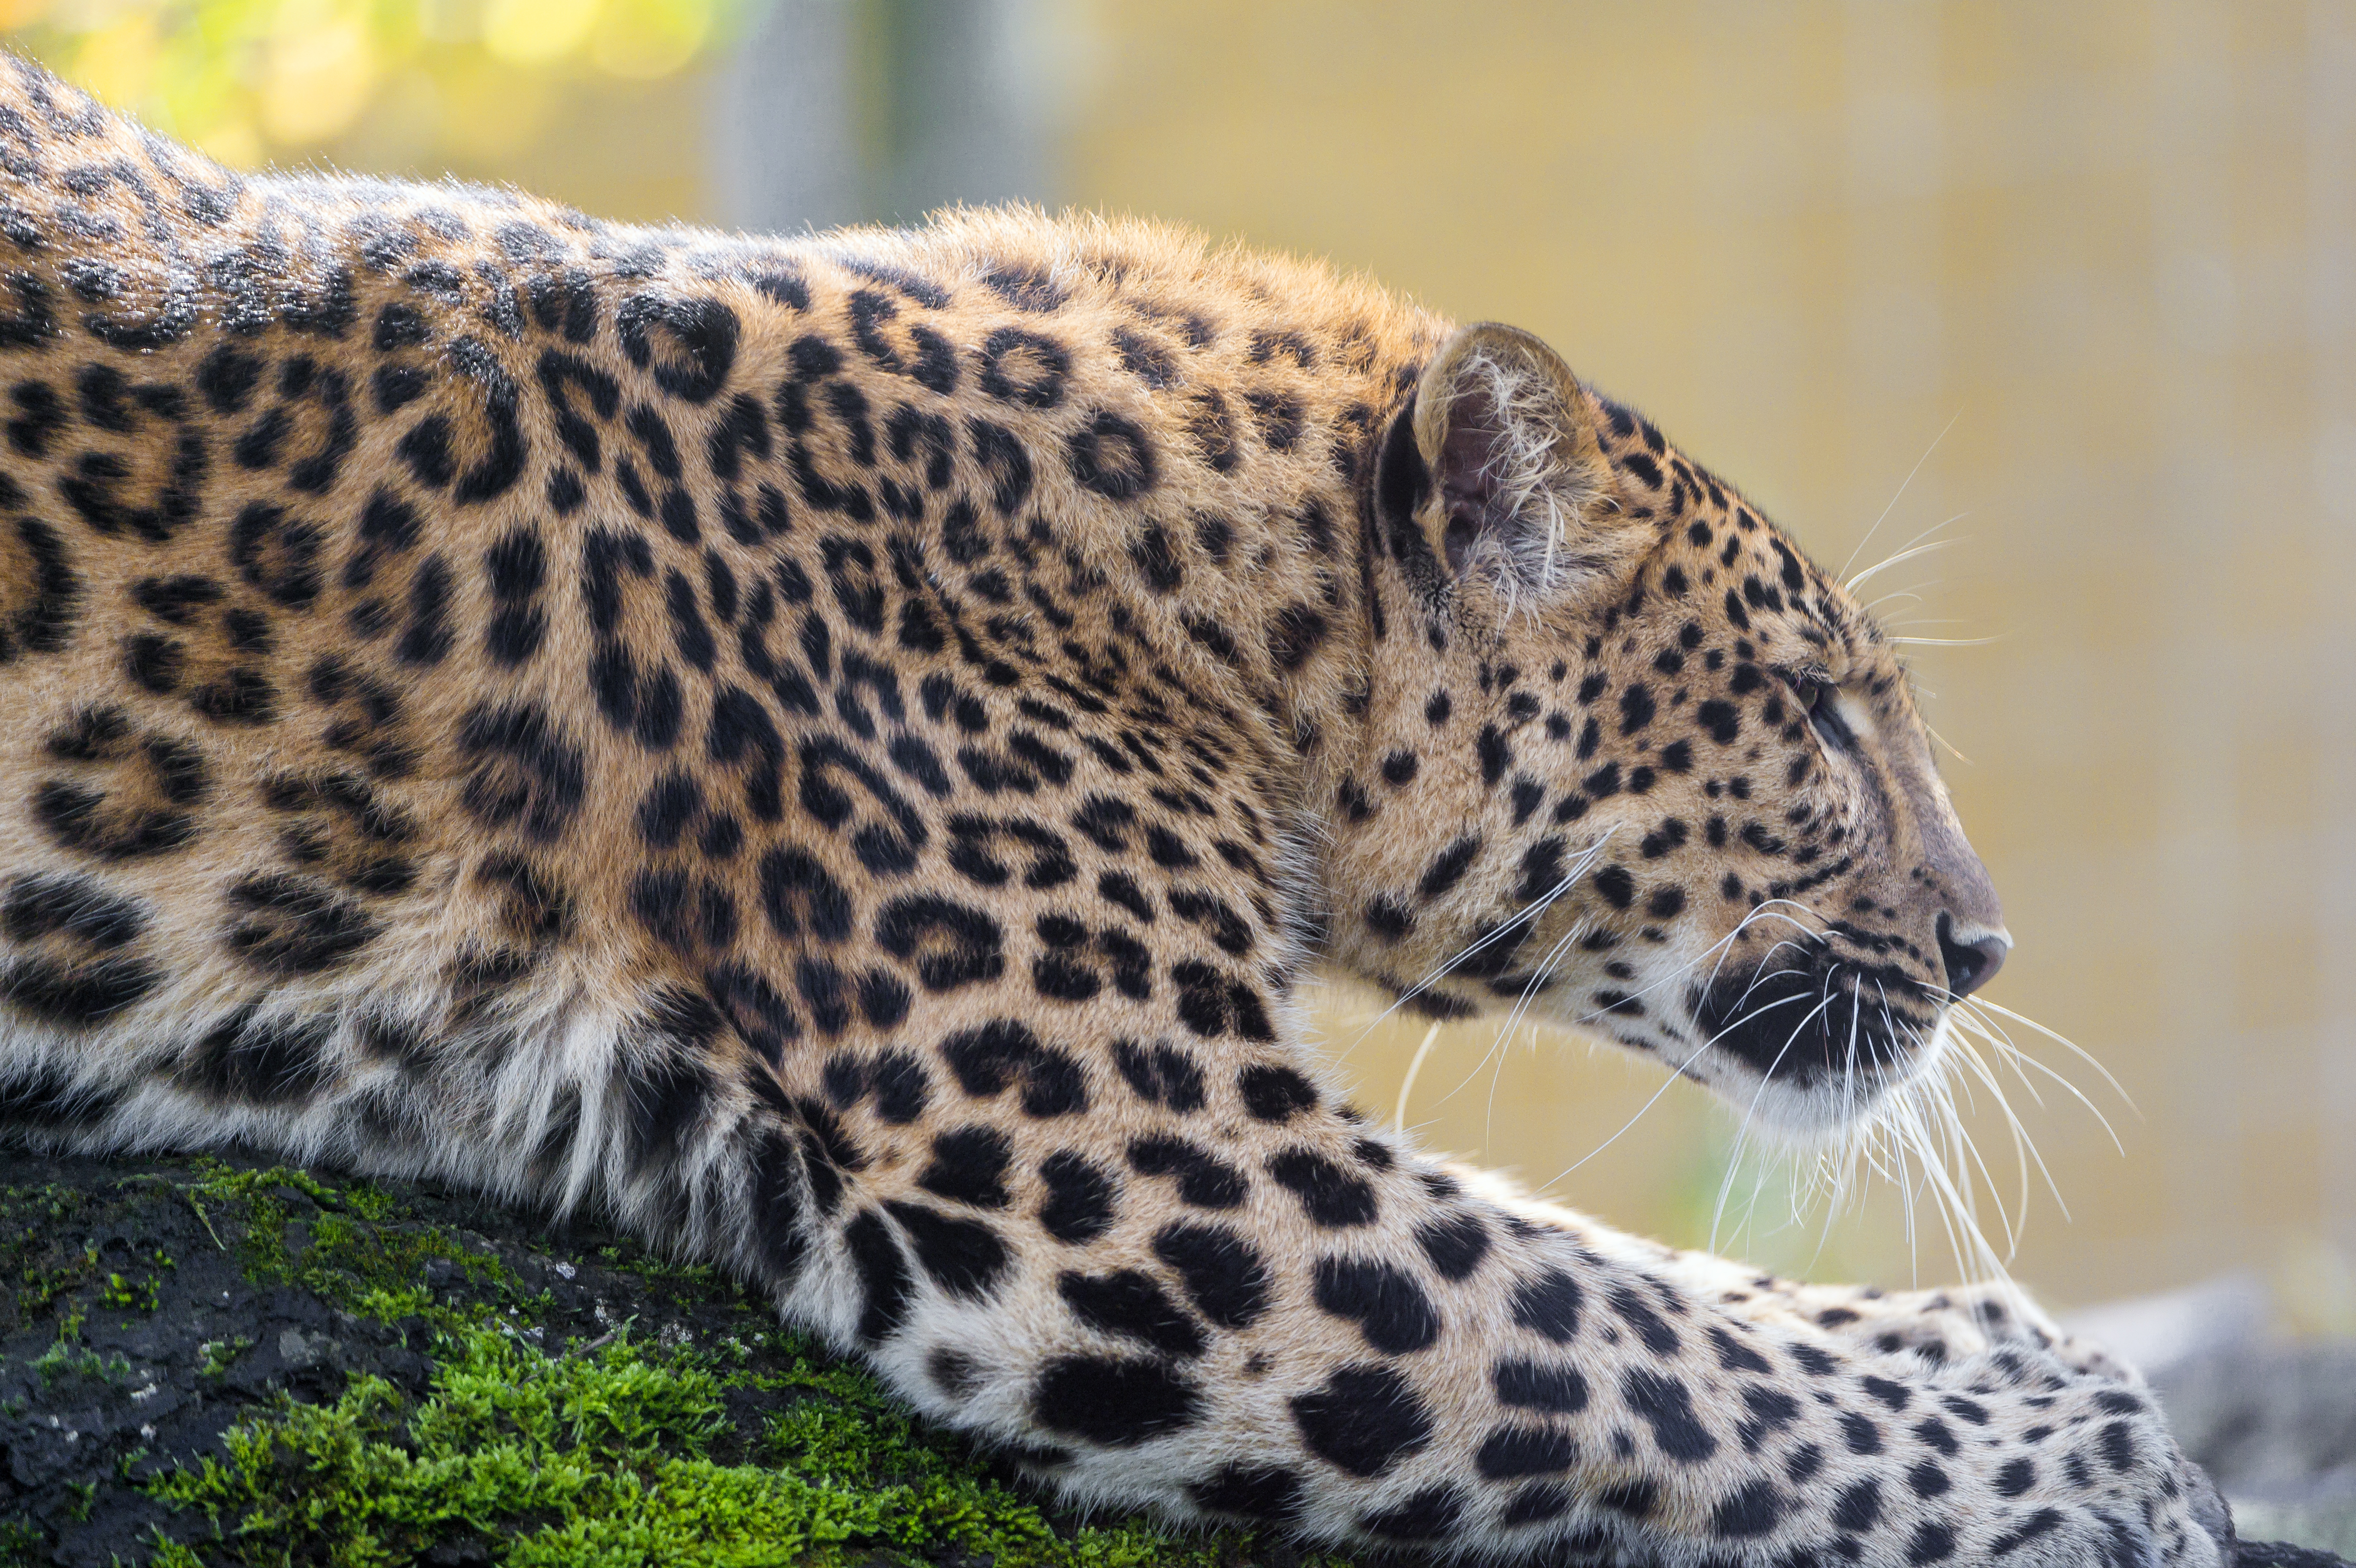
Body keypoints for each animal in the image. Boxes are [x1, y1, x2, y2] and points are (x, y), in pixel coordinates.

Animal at [0, 49, 2233, 1563]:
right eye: (1814, 711)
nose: (1985, 945)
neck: (1219, 600)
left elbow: (1672, 1285)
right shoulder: (1160, 1172)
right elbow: (1636, 1332)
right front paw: (2098, 1442)